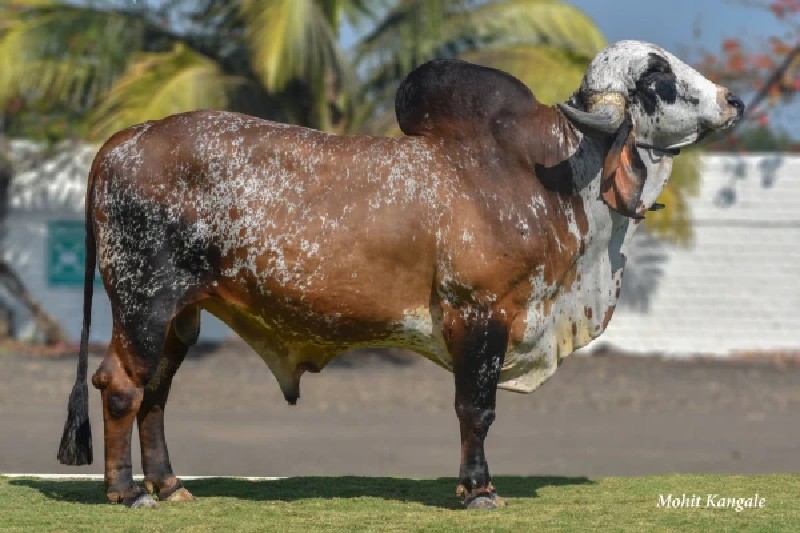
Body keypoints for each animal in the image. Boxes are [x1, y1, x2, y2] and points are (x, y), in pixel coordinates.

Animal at [57, 40, 744, 508]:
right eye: (660, 77)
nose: (734, 100)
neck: (546, 175)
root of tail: (120, 143)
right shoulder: (480, 314)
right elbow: (476, 409)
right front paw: (478, 491)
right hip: (143, 305)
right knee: (120, 384)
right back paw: (128, 492)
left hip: (182, 316)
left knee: (156, 393)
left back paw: (169, 484)